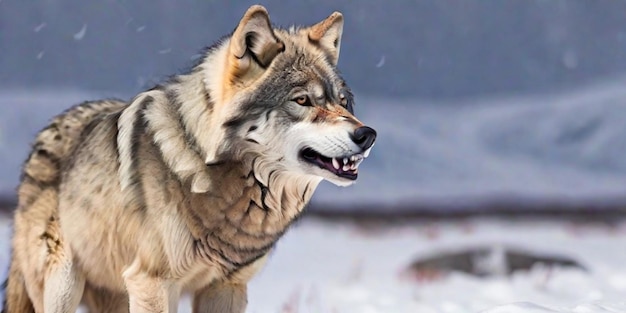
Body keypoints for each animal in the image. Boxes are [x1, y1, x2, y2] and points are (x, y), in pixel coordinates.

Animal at [2, 5, 376, 312]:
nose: (367, 135)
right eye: (302, 100)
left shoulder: (226, 287)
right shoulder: (152, 282)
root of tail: (43, 135)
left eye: (342, 102)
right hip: (64, 286)